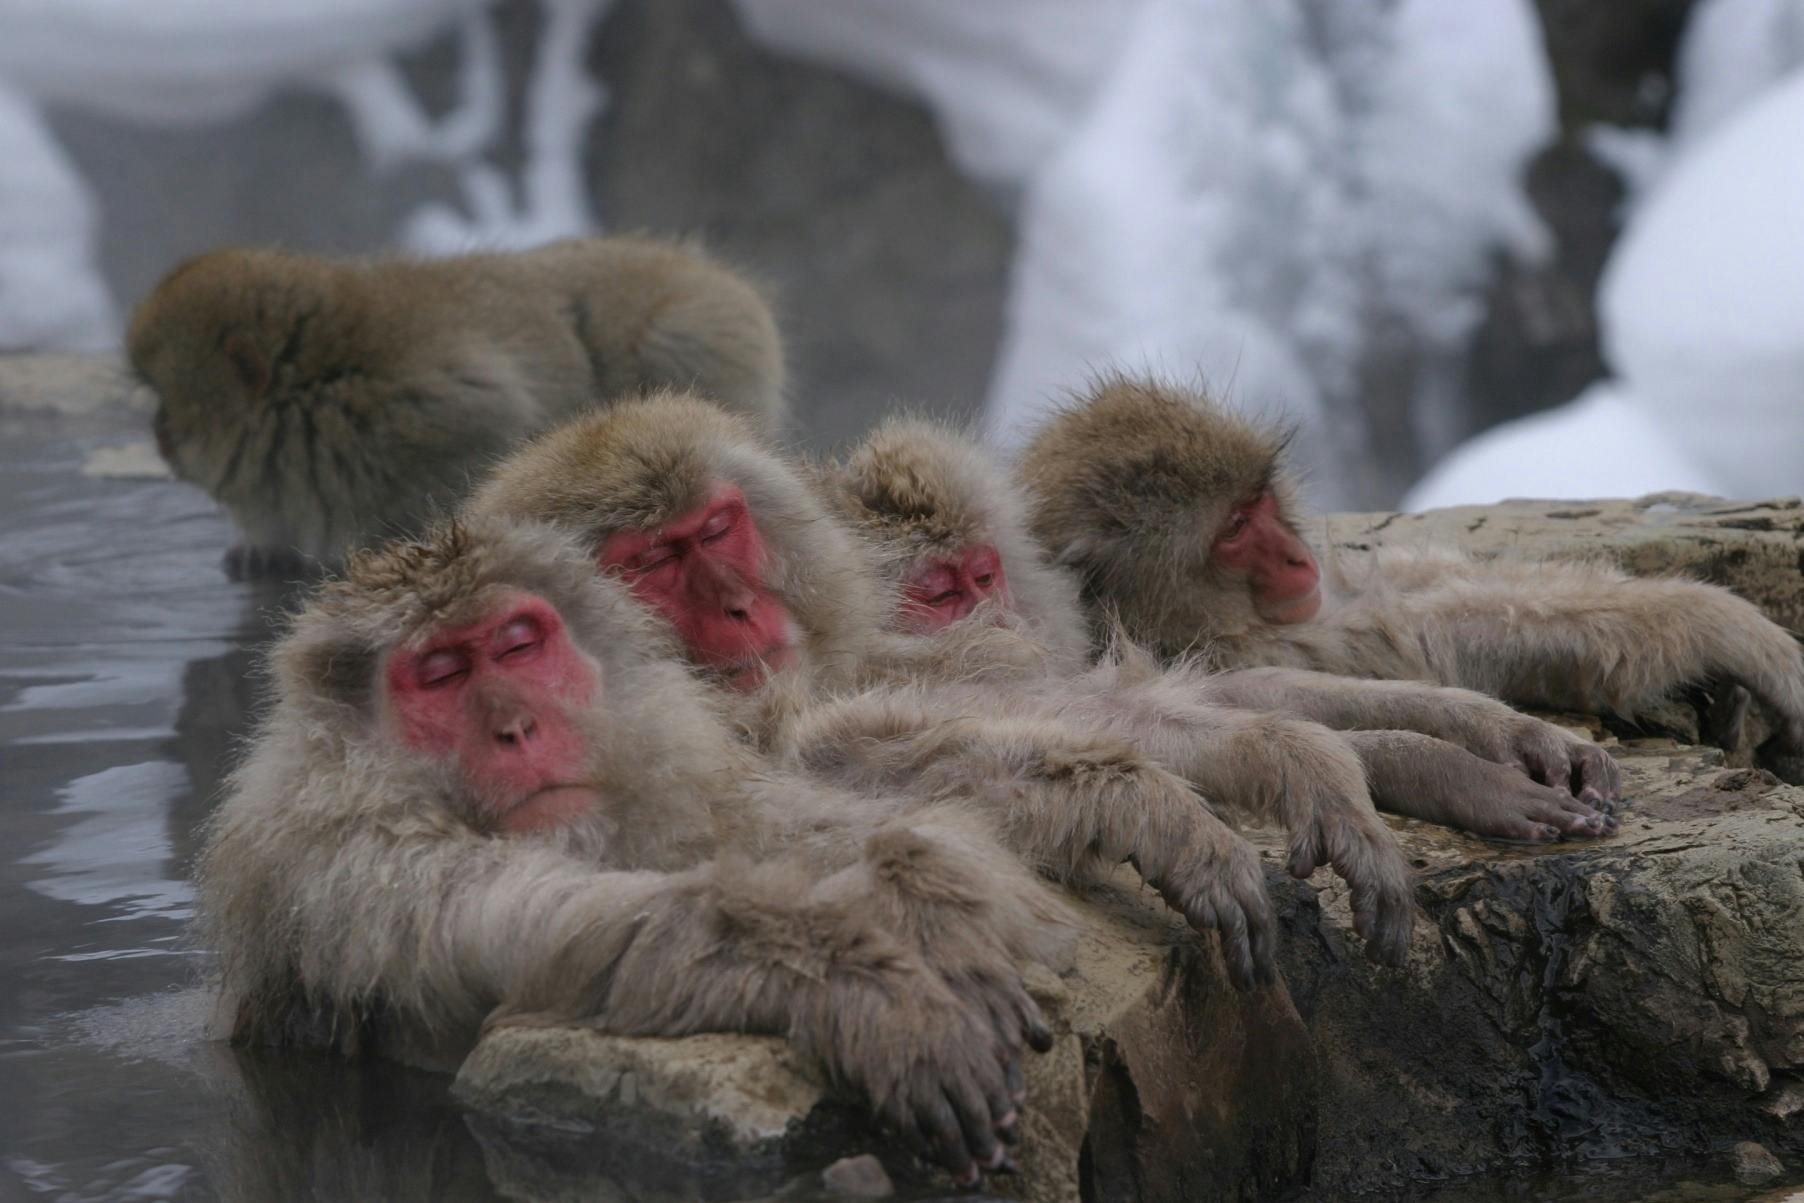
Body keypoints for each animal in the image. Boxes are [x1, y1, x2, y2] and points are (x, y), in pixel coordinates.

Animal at [130, 234, 785, 578]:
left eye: (167, 404)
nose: (157, 436)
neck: (316, 390)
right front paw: (263, 547)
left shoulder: (433, 408)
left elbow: (495, 432)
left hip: (696, 334)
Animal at [197, 517, 1073, 1184]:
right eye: (440, 674)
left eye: (517, 647)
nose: (517, 726)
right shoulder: (350, 864)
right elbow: (549, 929)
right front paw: (867, 987)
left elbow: (791, 824)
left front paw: (931, 900)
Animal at [1014, 374, 1804, 782]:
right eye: (1233, 530)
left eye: (1258, 500)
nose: (1296, 557)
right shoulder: (1241, 646)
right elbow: (1421, 638)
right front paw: (1727, 628)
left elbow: (1413, 590)